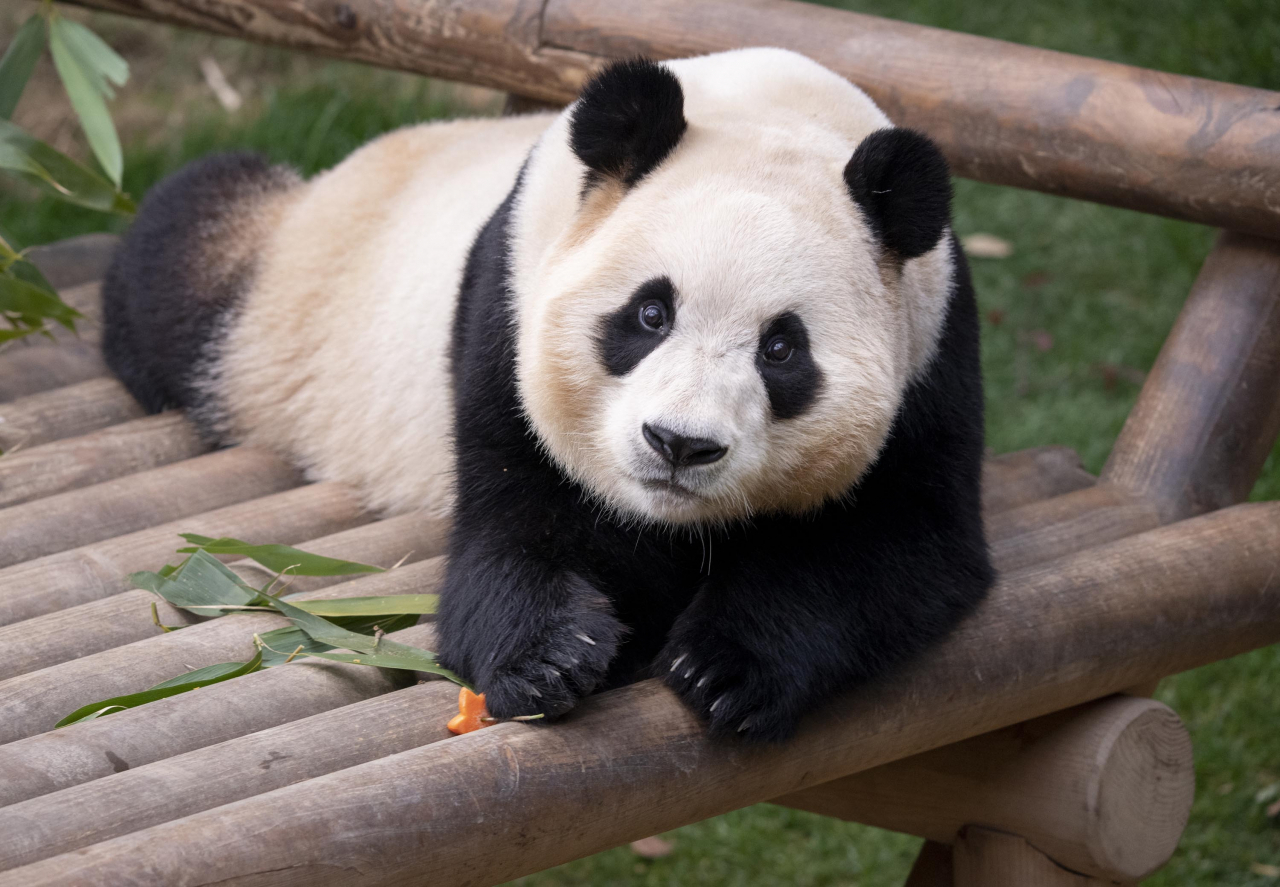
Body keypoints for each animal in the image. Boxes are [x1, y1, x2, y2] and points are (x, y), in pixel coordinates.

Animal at [103, 48, 992, 742]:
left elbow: (899, 546)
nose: (679, 444)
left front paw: (725, 667)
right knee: (185, 240)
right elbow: (509, 534)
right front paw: (553, 657)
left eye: (782, 349)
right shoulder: (504, 311)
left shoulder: (932, 354)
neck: (770, 108)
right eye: (649, 312)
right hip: (278, 312)